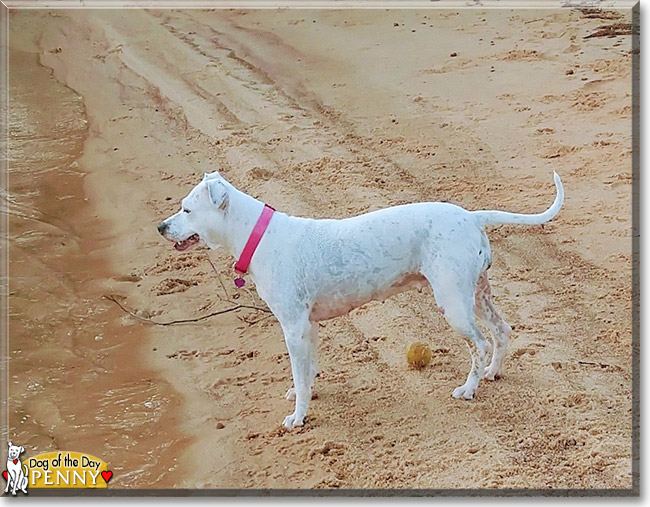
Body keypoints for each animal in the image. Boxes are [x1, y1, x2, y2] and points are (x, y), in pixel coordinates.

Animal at [157, 171, 560, 428]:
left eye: (187, 210)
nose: (161, 226)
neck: (258, 236)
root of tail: (472, 216)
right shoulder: (308, 328)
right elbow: (307, 372)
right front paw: (304, 396)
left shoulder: (293, 328)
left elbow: (300, 373)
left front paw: (298, 418)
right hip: (476, 295)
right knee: (502, 330)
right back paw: (493, 372)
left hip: (455, 304)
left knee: (479, 343)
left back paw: (469, 388)